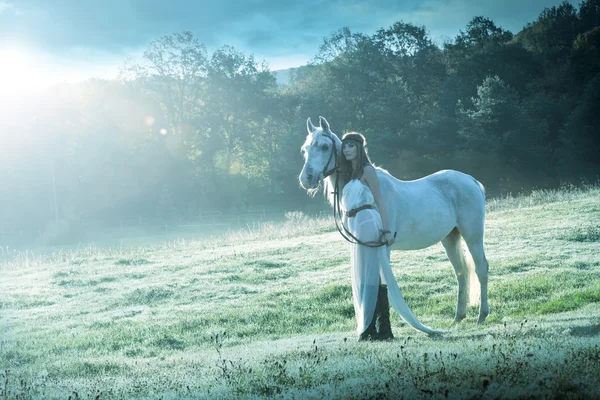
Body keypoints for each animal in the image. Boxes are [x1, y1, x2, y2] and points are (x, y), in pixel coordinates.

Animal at [298, 115, 490, 324]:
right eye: (305, 149)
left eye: (324, 147)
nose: (306, 179)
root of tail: (471, 180)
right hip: (450, 237)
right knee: (461, 272)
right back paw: (458, 317)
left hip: (472, 235)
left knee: (481, 268)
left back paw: (482, 315)